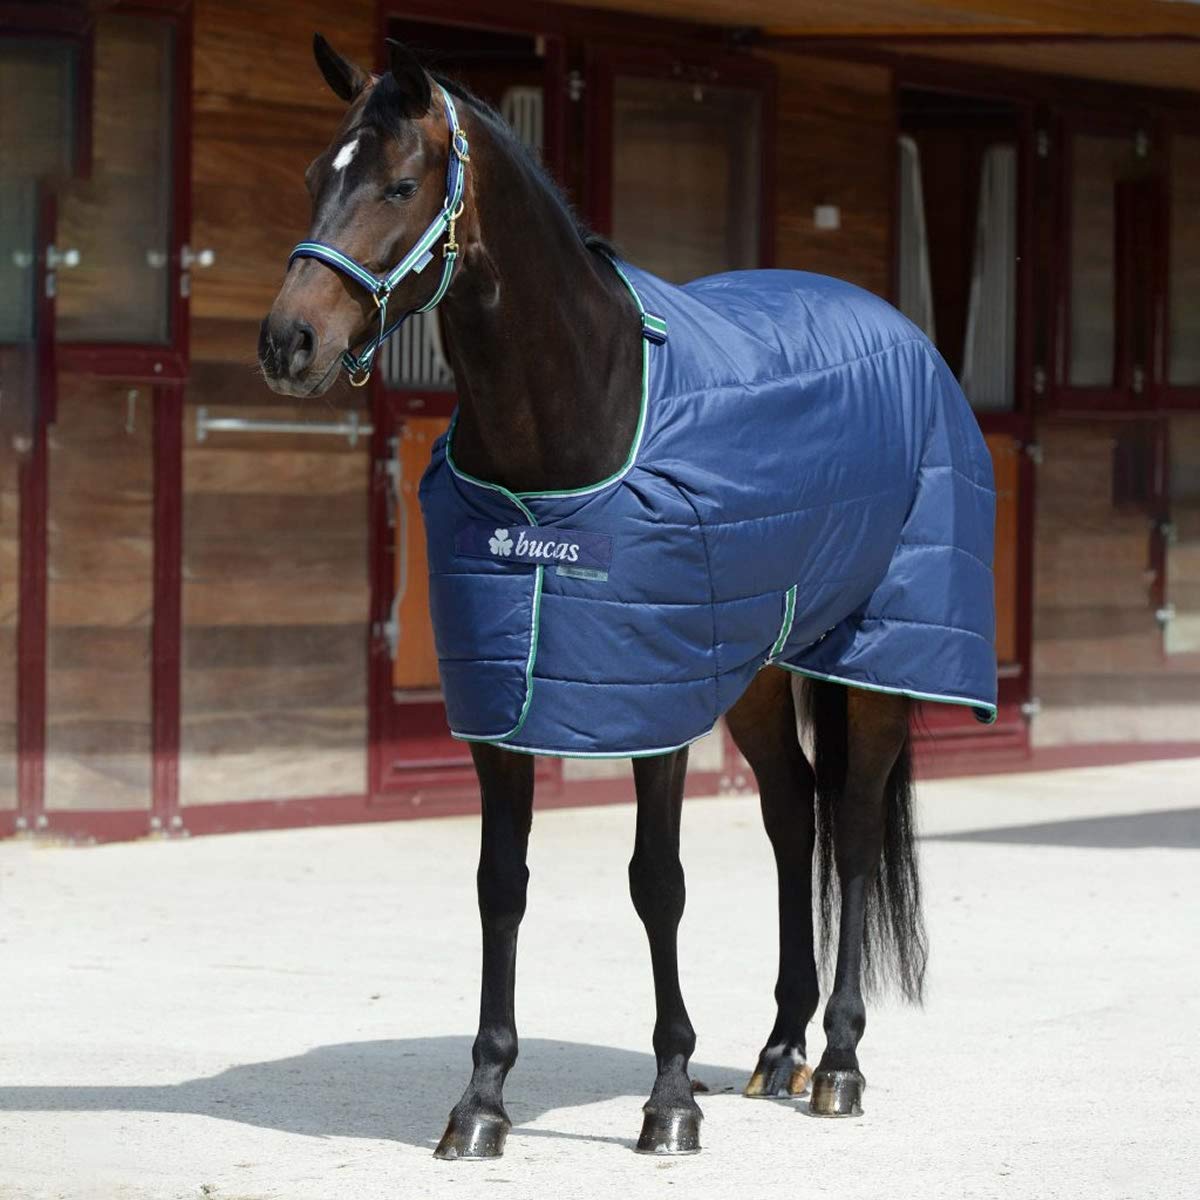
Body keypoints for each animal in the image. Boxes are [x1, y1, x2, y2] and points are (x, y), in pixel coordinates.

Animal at [258, 35, 998, 1159]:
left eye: (397, 184)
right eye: (311, 178)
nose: (288, 342)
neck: (577, 415)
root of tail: (900, 331)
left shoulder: (651, 705)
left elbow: (658, 886)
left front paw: (671, 1099)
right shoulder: (507, 703)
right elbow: (501, 886)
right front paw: (481, 1100)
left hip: (876, 658)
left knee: (856, 827)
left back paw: (837, 1062)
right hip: (754, 667)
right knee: (795, 818)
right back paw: (779, 1049)